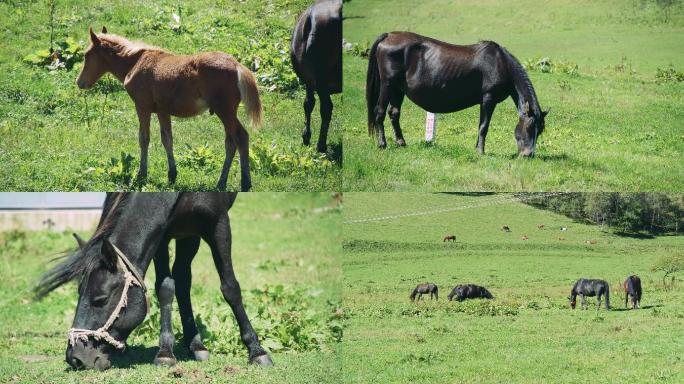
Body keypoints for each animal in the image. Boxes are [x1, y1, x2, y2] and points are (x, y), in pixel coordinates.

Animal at [33, 194, 272, 370]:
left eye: (100, 299)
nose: (75, 358)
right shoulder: (161, 234)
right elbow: (165, 288)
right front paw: (165, 352)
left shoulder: (218, 224)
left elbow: (230, 287)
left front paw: (257, 351)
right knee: (182, 281)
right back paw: (194, 344)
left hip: (191, 232)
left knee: (184, 279)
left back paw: (196, 345)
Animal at [77, 26, 262, 191]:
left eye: (87, 55)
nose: (80, 82)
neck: (135, 63)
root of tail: (237, 66)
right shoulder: (162, 111)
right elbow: (167, 139)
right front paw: (172, 175)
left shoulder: (142, 106)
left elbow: (144, 138)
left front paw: (141, 175)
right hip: (225, 112)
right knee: (230, 142)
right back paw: (221, 183)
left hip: (224, 111)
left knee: (241, 137)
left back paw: (245, 183)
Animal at [288, 0, 342, 153]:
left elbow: (308, 103)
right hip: (321, 79)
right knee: (326, 108)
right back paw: (321, 145)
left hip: (313, 79)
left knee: (313, 104)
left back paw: (311, 140)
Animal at [366, 31, 548, 154]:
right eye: (530, 127)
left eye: (540, 131)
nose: (528, 155)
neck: (500, 63)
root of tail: (388, 35)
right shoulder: (488, 99)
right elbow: (484, 126)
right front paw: (481, 151)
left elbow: (480, 125)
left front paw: (477, 148)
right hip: (388, 84)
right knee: (379, 112)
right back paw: (382, 144)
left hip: (398, 89)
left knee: (394, 113)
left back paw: (401, 142)